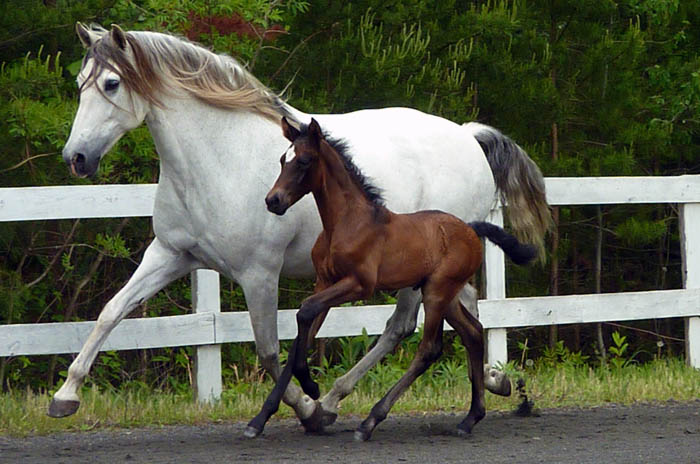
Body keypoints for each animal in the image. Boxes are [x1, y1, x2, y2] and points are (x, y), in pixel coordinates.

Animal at [247, 117, 536, 442]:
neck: (347, 222)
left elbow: (306, 311)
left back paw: (370, 421)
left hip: (436, 292)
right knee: (473, 333)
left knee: (429, 348)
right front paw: (262, 418)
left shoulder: (359, 284)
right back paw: (470, 419)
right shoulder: (324, 281)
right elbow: (303, 332)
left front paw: (312, 388)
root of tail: (472, 229)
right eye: (282, 160)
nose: (273, 200)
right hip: (444, 294)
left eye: (304, 161)